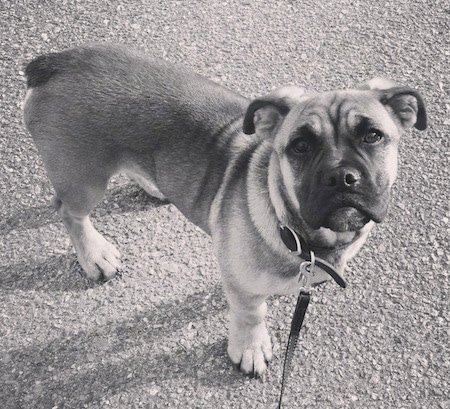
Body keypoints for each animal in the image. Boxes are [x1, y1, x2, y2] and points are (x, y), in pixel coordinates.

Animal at [22, 43, 428, 376]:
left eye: (373, 136)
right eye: (300, 146)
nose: (341, 176)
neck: (302, 234)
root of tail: (56, 62)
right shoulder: (242, 286)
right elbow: (251, 315)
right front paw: (250, 348)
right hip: (84, 180)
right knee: (69, 212)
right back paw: (95, 254)